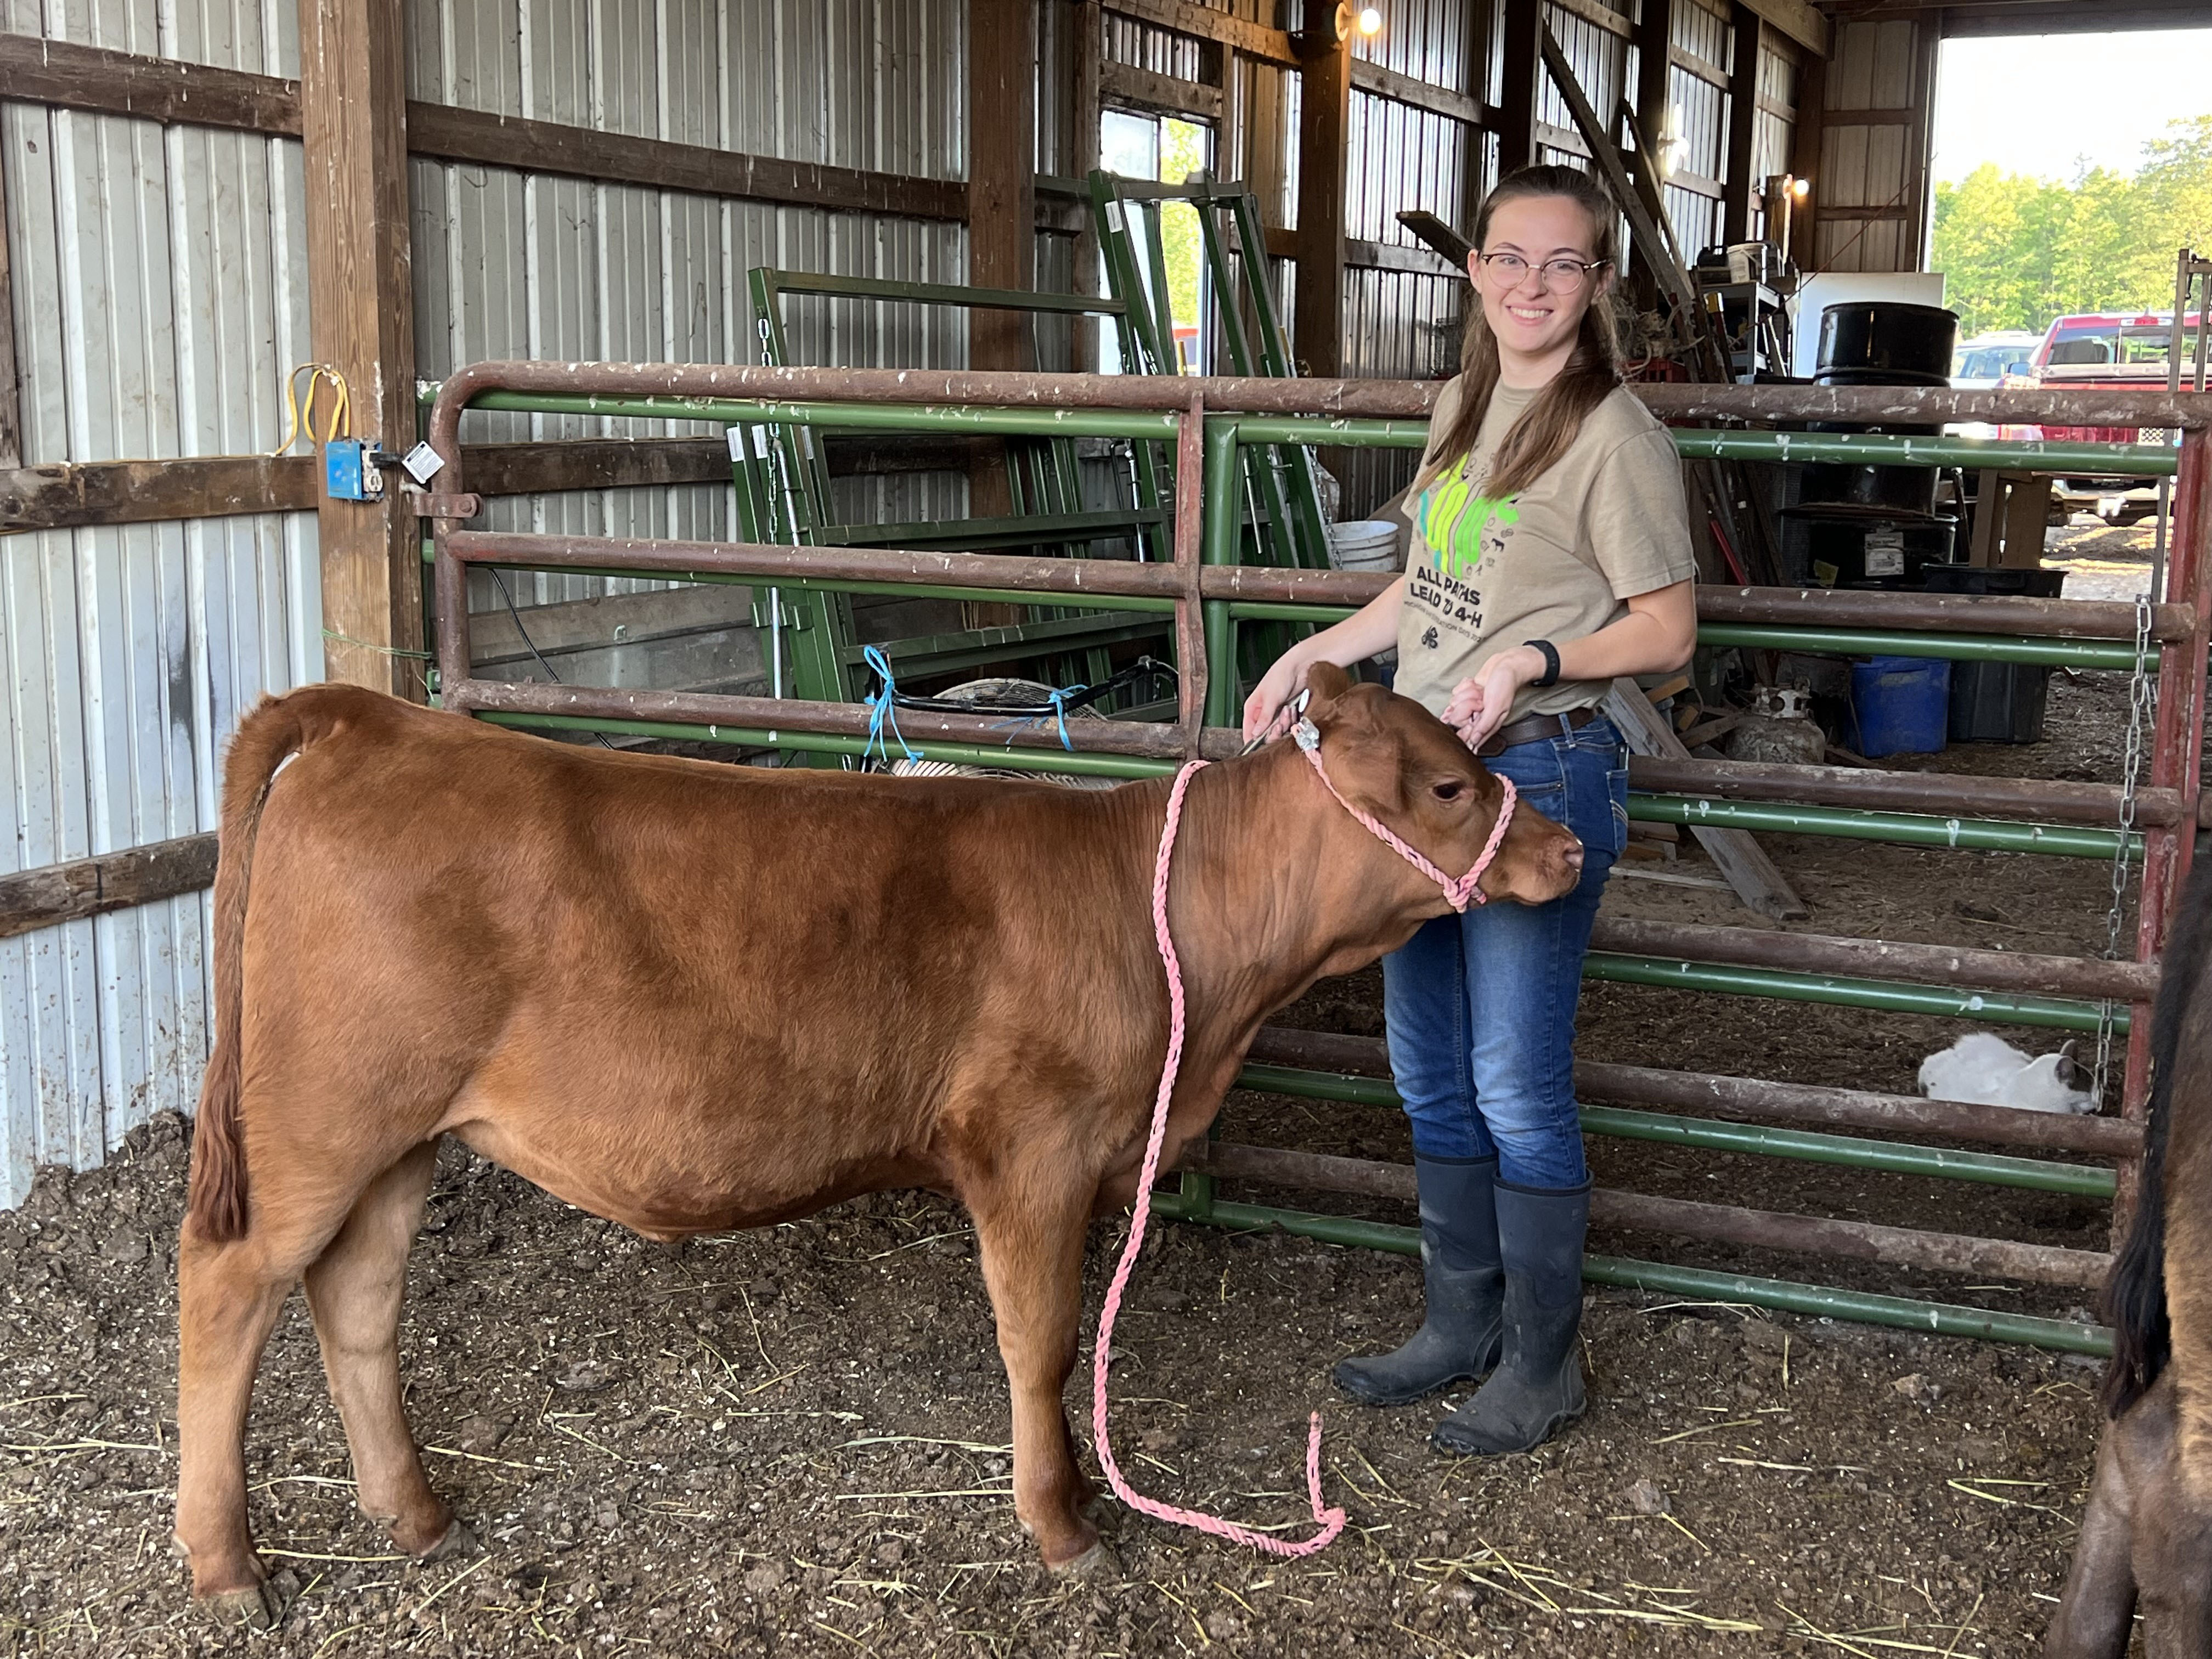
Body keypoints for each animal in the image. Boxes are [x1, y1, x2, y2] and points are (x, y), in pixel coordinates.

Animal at [173, 667, 1584, 1624]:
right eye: (1450, 785)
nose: (1570, 847)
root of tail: (379, 718)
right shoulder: (1032, 1148)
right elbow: (1042, 1342)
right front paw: (1062, 1525)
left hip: (399, 1134)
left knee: (355, 1298)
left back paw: (413, 1515)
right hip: (326, 1116)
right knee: (227, 1290)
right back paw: (229, 1565)